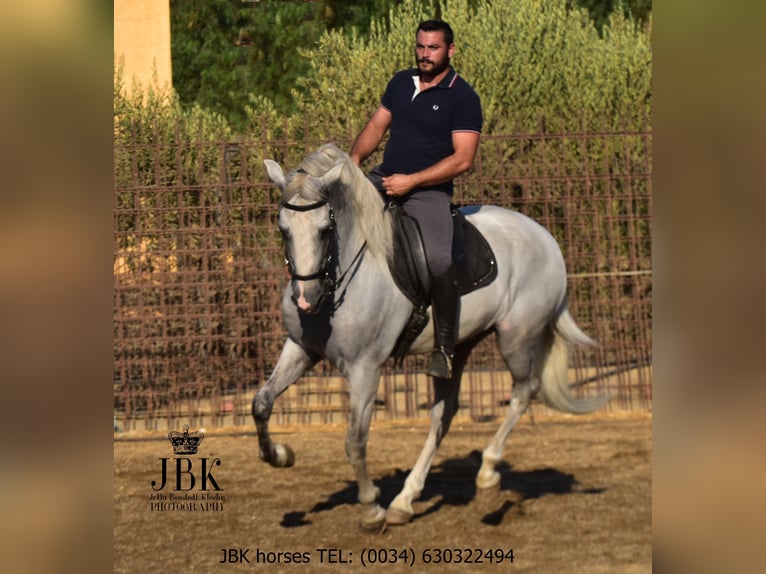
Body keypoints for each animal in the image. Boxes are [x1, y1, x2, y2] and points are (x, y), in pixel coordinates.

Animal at [253, 143, 609, 531]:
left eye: (324, 229)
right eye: (283, 229)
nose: (306, 299)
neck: (341, 278)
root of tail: (545, 238)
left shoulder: (365, 368)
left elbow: (355, 441)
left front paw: (371, 509)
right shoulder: (301, 349)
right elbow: (261, 403)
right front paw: (281, 455)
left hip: (517, 337)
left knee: (523, 392)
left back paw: (486, 474)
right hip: (459, 346)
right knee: (445, 412)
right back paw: (405, 501)